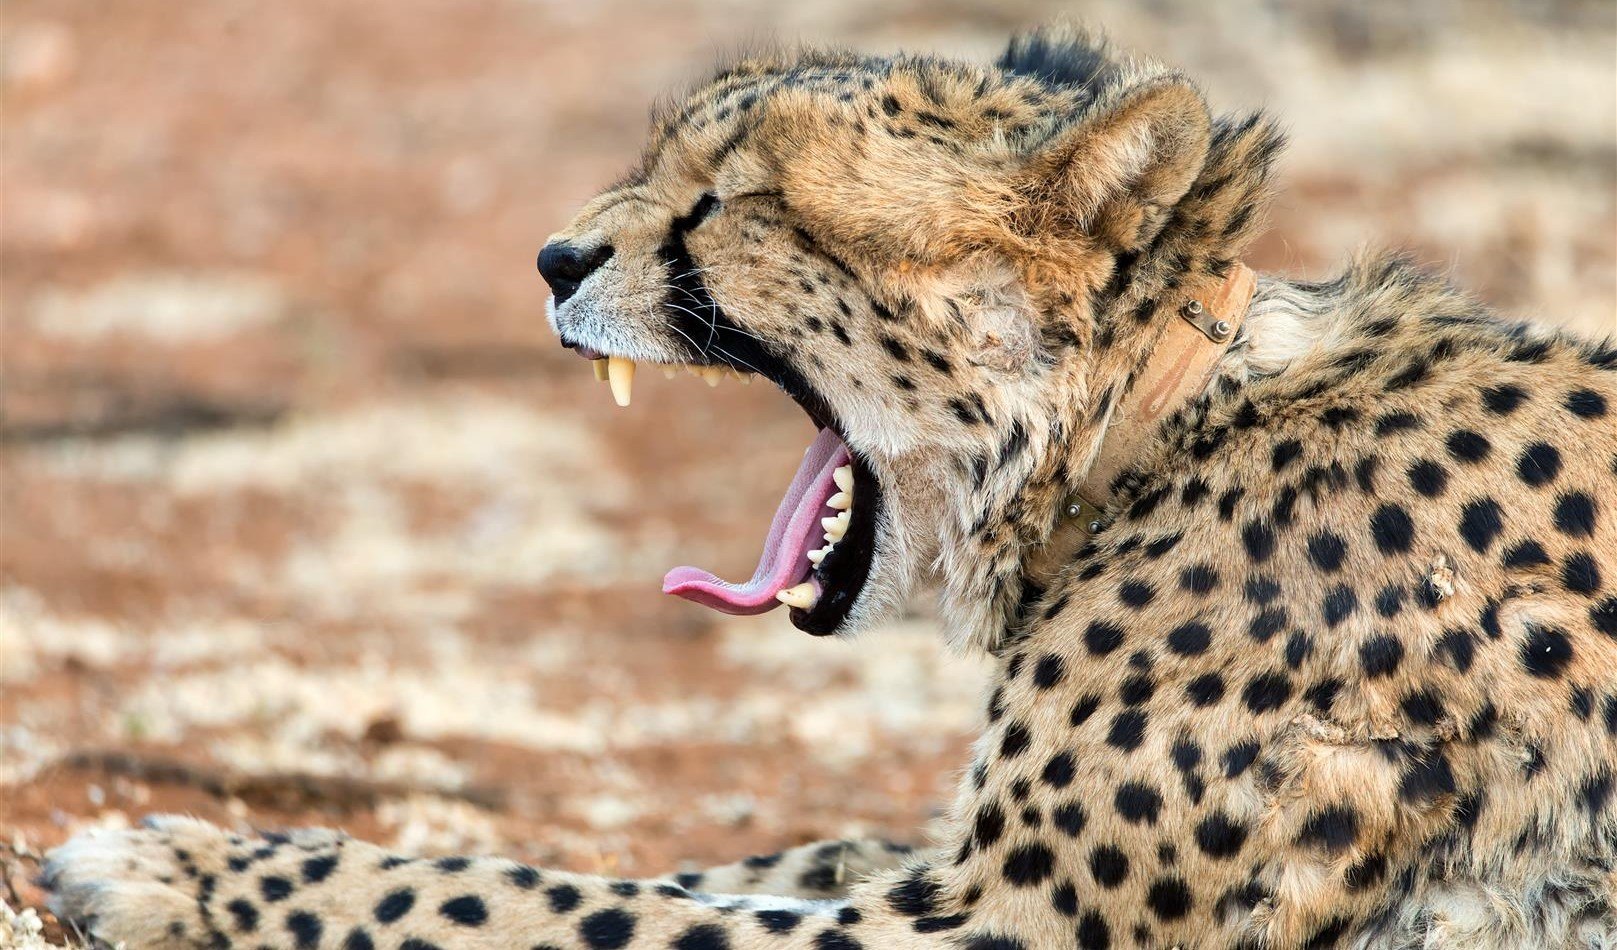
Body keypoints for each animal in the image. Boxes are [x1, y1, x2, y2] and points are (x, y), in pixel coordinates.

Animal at [41, 24, 1617, 950]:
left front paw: (182, 866)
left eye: (741, 202)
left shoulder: (991, 928)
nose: (552, 260)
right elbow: (763, 853)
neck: (1143, 430)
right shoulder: (936, 872)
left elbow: (545, 893)